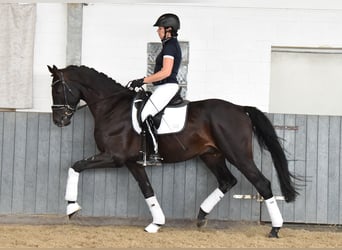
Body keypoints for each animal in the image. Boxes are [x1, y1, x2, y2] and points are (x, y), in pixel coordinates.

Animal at [48, 64, 300, 236]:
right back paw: (201, 217)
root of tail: (240, 108)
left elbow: (76, 166)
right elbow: (147, 189)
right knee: (227, 181)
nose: (59, 121)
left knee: (262, 183)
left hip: (238, 154)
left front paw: (71, 206)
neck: (112, 107)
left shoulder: (114, 157)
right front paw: (156, 223)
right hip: (212, 155)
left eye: (58, 90)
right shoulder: (132, 162)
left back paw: (275, 229)